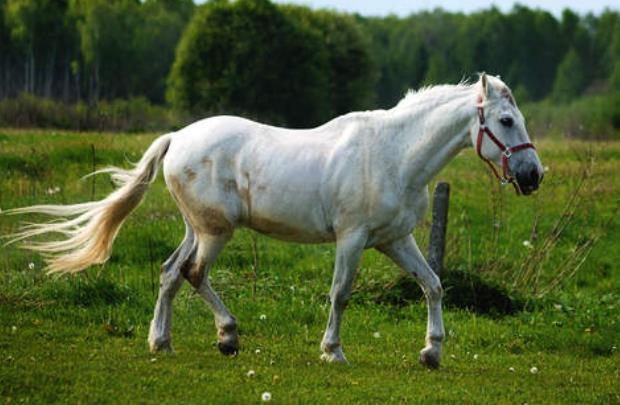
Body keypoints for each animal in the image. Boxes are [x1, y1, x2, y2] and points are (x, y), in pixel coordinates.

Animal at [4, 72, 544, 366]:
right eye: (505, 121)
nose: (533, 175)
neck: (393, 155)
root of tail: (177, 137)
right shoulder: (352, 239)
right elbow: (340, 293)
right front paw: (333, 351)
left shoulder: (395, 240)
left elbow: (432, 285)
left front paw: (431, 352)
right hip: (216, 231)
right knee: (193, 272)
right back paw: (226, 336)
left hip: (198, 228)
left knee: (171, 273)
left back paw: (163, 341)